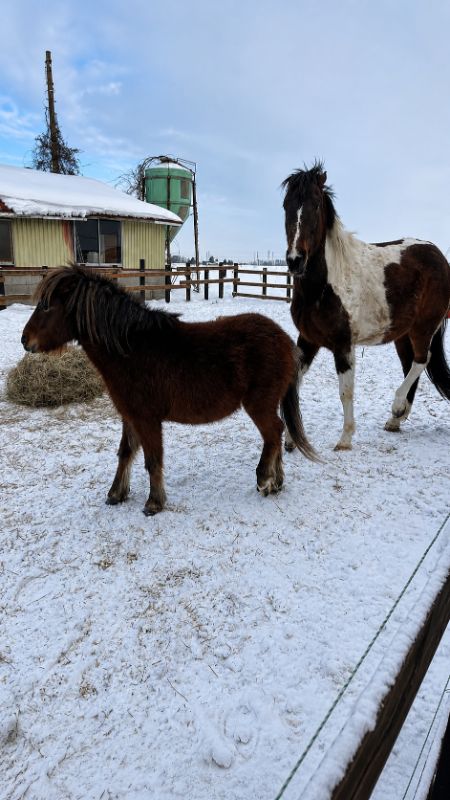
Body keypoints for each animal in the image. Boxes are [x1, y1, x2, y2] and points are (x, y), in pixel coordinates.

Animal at [21, 265, 316, 515]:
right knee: (277, 434)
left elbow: (152, 460)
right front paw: (116, 494)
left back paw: (265, 479)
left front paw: (154, 502)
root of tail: (285, 340)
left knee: (274, 432)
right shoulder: (129, 416)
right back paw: (277, 482)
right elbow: (125, 453)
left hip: (259, 404)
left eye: (46, 306)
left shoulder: (147, 419)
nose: (25, 340)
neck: (131, 349)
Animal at [281, 161, 450, 451]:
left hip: (423, 327)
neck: (324, 285)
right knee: (411, 366)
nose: (295, 260)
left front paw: (345, 439)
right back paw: (395, 420)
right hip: (402, 335)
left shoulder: (343, 344)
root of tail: (437, 253)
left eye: (316, 204)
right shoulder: (308, 339)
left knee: (421, 360)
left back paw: (396, 407)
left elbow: (346, 391)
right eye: (285, 205)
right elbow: (294, 380)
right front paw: (291, 439)